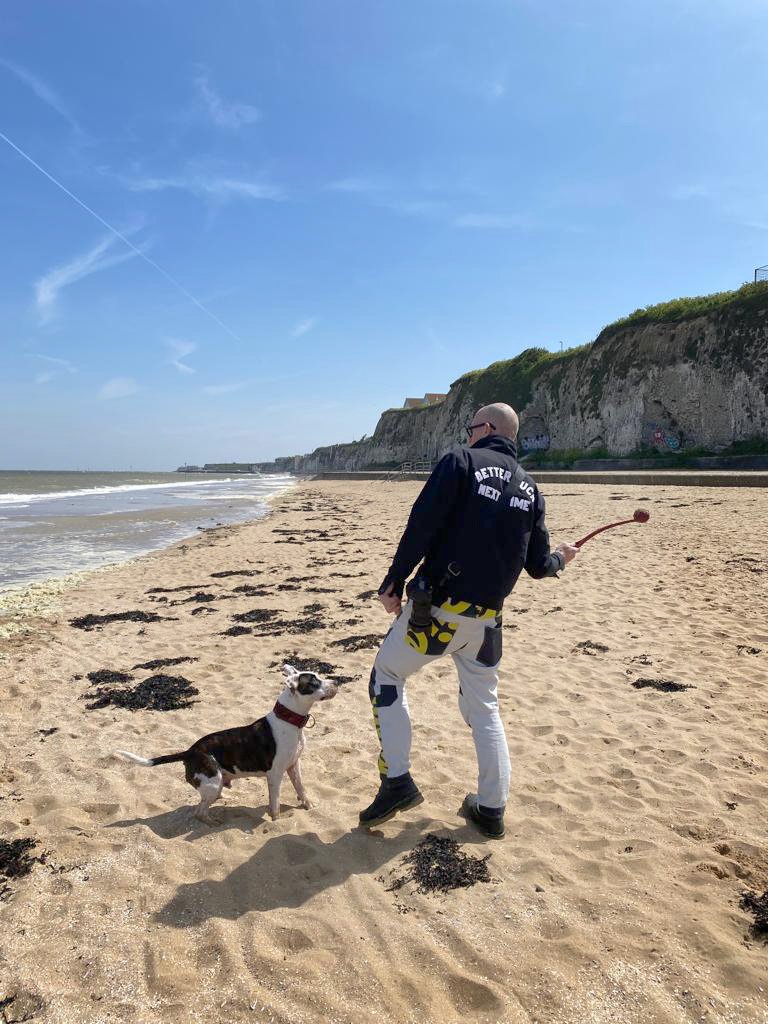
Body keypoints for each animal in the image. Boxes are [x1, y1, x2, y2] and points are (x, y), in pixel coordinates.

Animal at [116, 663, 335, 823]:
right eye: (314, 682)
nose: (336, 682)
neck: (289, 720)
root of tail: (190, 751)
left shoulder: (294, 765)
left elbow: (301, 788)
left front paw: (308, 805)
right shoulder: (275, 774)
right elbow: (275, 803)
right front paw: (276, 820)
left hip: (216, 783)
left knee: (209, 799)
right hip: (212, 781)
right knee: (199, 812)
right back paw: (213, 822)